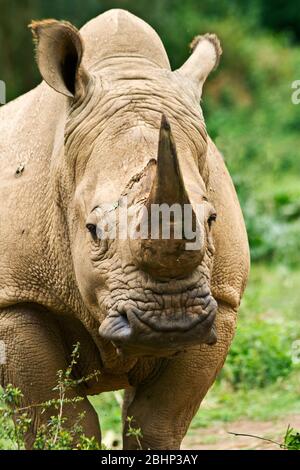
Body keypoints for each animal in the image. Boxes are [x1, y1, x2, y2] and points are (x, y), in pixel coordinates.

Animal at [0, 8, 250, 448]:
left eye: (212, 220)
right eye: (92, 230)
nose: (170, 321)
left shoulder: (222, 299)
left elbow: (156, 418)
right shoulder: (16, 298)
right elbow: (60, 421)